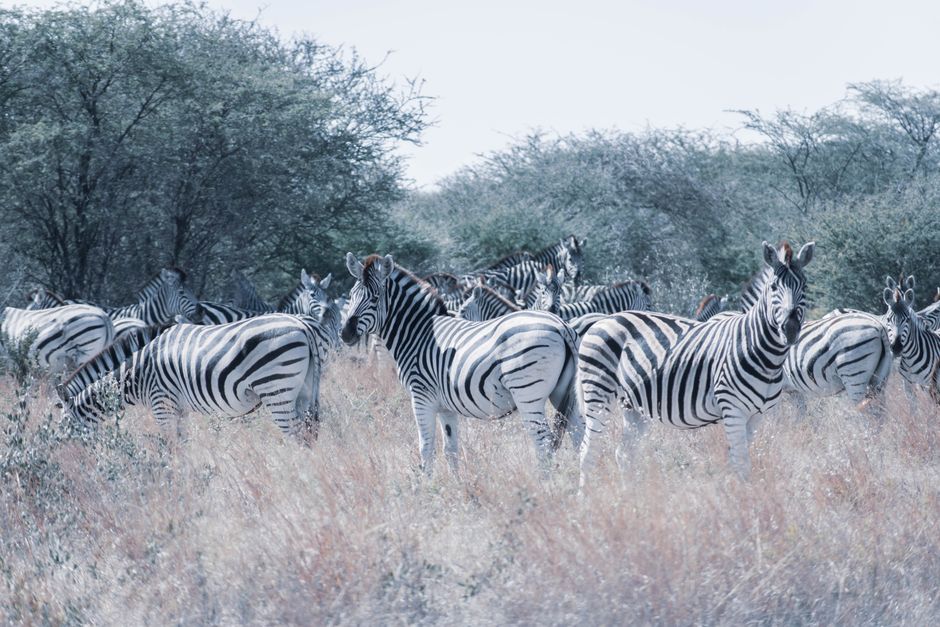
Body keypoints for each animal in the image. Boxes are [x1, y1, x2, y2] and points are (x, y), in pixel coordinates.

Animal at [61, 290, 341, 438]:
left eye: (64, 425)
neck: (138, 371)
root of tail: (303, 325)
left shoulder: (162, 404)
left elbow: (170, 447)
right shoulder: (179, 410)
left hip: (276, 389)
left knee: (295, 435)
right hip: (305, 390)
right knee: (308, 434)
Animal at [341, 253, 581, 472]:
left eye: (374, 298)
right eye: (352, 296)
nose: (346, 334)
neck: (418, 333)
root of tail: (561, 325)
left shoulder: (421, 397)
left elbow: (426, 449)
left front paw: (428, 488)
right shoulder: (446, 407)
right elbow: (450, 450)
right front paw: (455, 485)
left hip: (528, 393)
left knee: (544, 443)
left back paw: (545, 484)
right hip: (564, 393)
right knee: (578, 436)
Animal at [576, 241, 814, 486]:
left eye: (804, 287)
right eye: (774, 287)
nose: (790, 329)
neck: (765, 356)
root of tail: (605, 319)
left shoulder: (757, 415)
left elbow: (736, 460)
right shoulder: (733, 409)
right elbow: (741, 462)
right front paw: (741, 492)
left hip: (632, 405)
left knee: (624, 453)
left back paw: (629, 492)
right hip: (598, 391)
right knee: (588, 450)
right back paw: (585, 493)